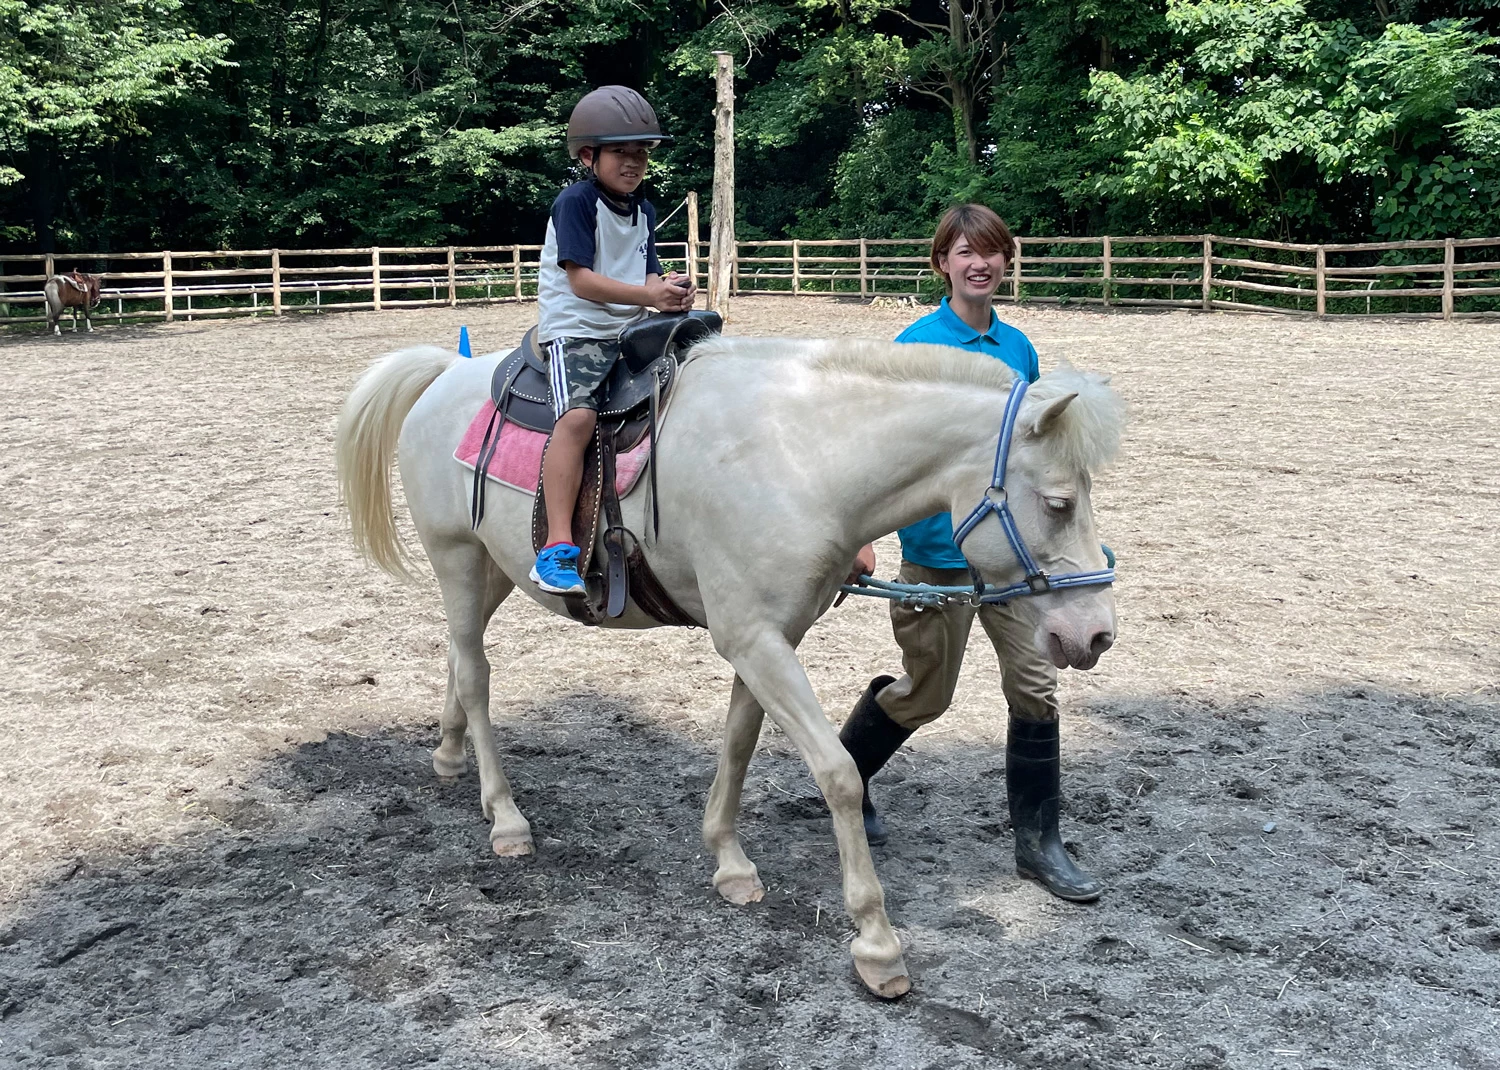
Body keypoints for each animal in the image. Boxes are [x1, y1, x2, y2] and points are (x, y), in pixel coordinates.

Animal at [335, 335, 1125, 998]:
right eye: (1059, 503)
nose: (1095, 634)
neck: (803, 460)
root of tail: (448, 370)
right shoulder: (753, 640)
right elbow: (837, 774)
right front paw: (877, 945)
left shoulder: (769, 637)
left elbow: (740, 744)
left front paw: (730, 862)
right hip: (460, 562)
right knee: (475, 674)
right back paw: (505, 818)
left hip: (492, 570)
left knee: (457, 656)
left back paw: (447, 758)